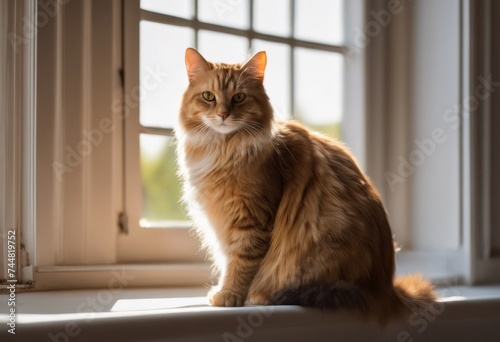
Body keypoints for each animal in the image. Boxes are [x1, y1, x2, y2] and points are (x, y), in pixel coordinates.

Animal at [178, 48, 436, 324]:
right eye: (208, 97)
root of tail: (387, 287)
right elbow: (229, 260)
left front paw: (229, 295)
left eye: (239, 97)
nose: (223, 114)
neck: (222, 149)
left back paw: (262, 295)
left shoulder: (251, 219)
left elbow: (240, 262)